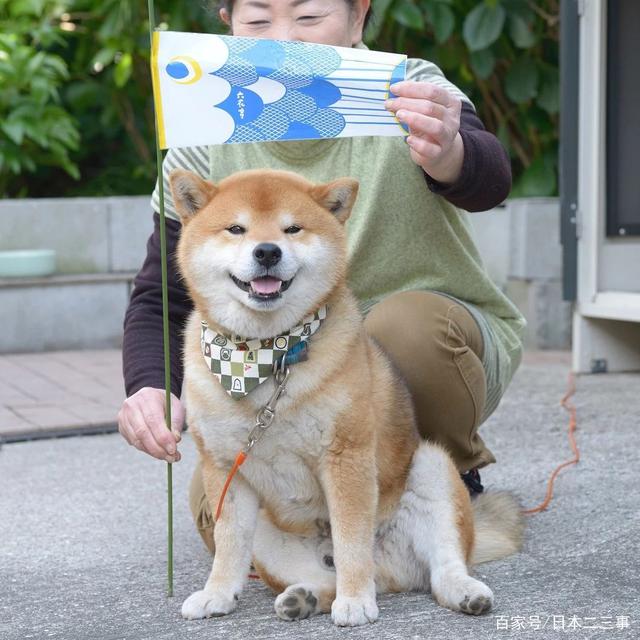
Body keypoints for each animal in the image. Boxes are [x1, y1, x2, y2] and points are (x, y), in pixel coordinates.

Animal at [170, 168, 524, 628]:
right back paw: (302, 599)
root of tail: (387, 569)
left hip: (432, 469)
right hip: (268, 534)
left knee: (441, 567)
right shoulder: (225, 468)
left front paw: (355, 600)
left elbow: (352, 537)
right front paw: (216, 594)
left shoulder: (346, 456)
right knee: (319, 581)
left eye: (292, 229)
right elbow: (228, 543)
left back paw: (462, 592)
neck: (266, 356)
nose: (267, 251)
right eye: (236, 229)